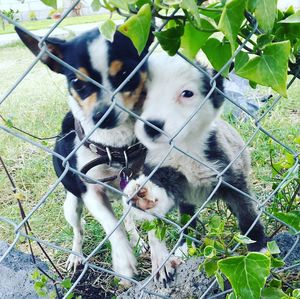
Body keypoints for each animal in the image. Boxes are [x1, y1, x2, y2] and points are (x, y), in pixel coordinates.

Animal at [15, 27, 154, 282]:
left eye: (126, 73)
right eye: (77, 82)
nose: (102, 116)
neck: (115, 147)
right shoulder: (91, 191)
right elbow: (112, 225)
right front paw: (123, 259)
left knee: (128, 217)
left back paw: (137, 240)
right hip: (72, 205)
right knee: (78, 231)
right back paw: (76, 256)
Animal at [123, 53, 266, 286]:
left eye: (187, 93)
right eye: (142, 94)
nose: (150, 126)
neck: (185, 149)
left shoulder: (233, 181)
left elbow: (247, 216)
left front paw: (258, 250)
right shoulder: (168, 175)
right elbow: (163, 197)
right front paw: (146, 197)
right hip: (187, 202)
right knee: (186, 219)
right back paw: (183, 246)